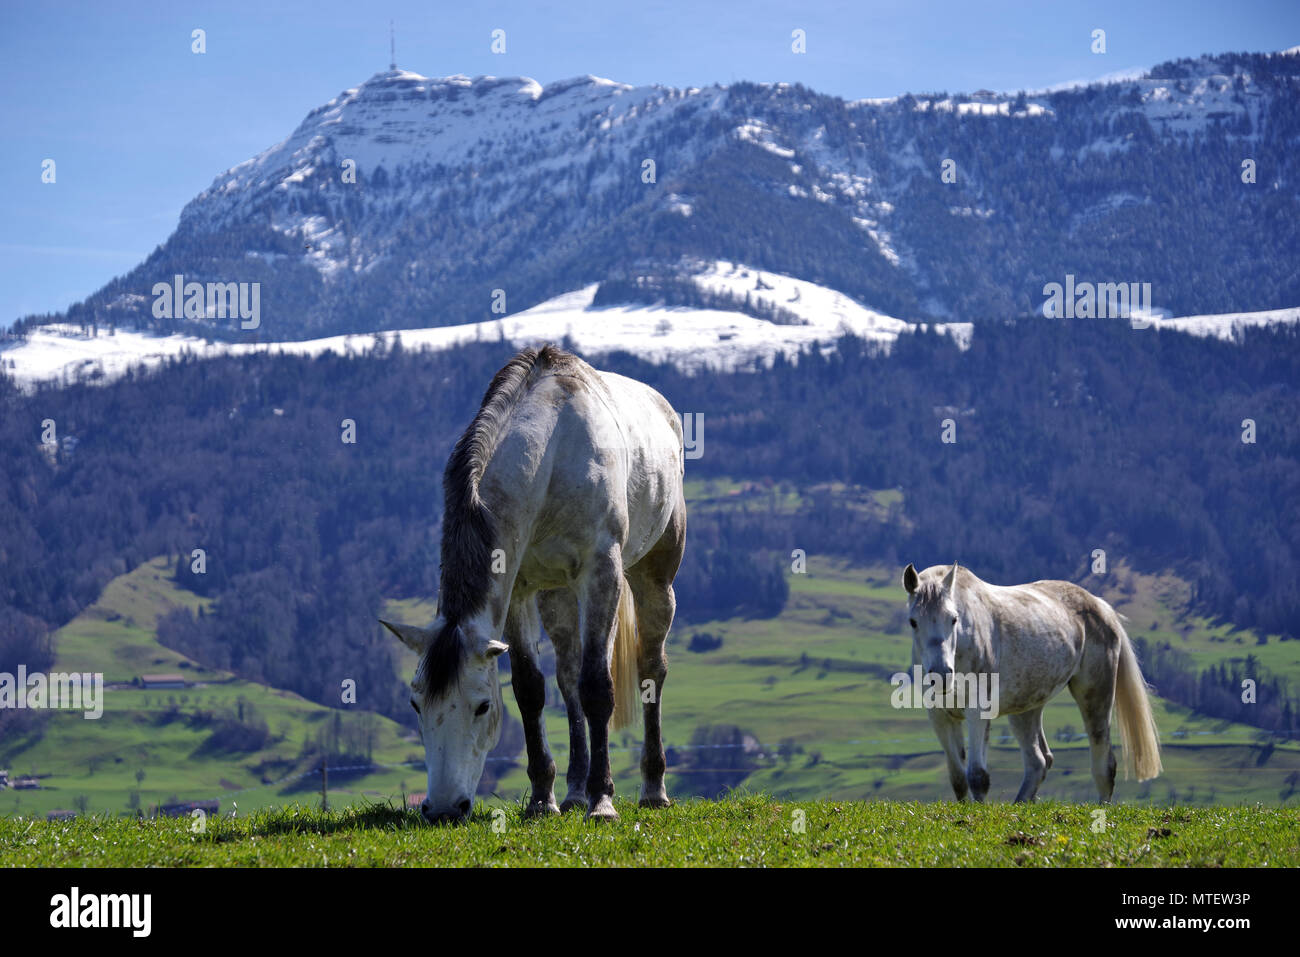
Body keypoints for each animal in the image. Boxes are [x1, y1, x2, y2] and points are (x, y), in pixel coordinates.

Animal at [379, 343, 686, 821]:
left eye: (482, 706)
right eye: (416, 704)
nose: (444, 808)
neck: (552, 456)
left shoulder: (601, 573)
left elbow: (598, 687)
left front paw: (603, 801)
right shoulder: (519, 590)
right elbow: (531, 689)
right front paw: (544, 798)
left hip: (653, 577)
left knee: (651, 667)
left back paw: (652, 789)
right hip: (557, 595)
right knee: (568, 674)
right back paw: (575, 791)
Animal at [899, 564, 1164, 806]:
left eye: (954, 619)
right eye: (913, 622)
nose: (941, 674)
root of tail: (1101, 607)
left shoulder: (977, 711)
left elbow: (977, 776)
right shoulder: (940, 716)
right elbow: (958, 778)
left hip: (1096, 694)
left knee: (1104, 763)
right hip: (1026, 709)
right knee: (1039, 761)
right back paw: (1021, 803)